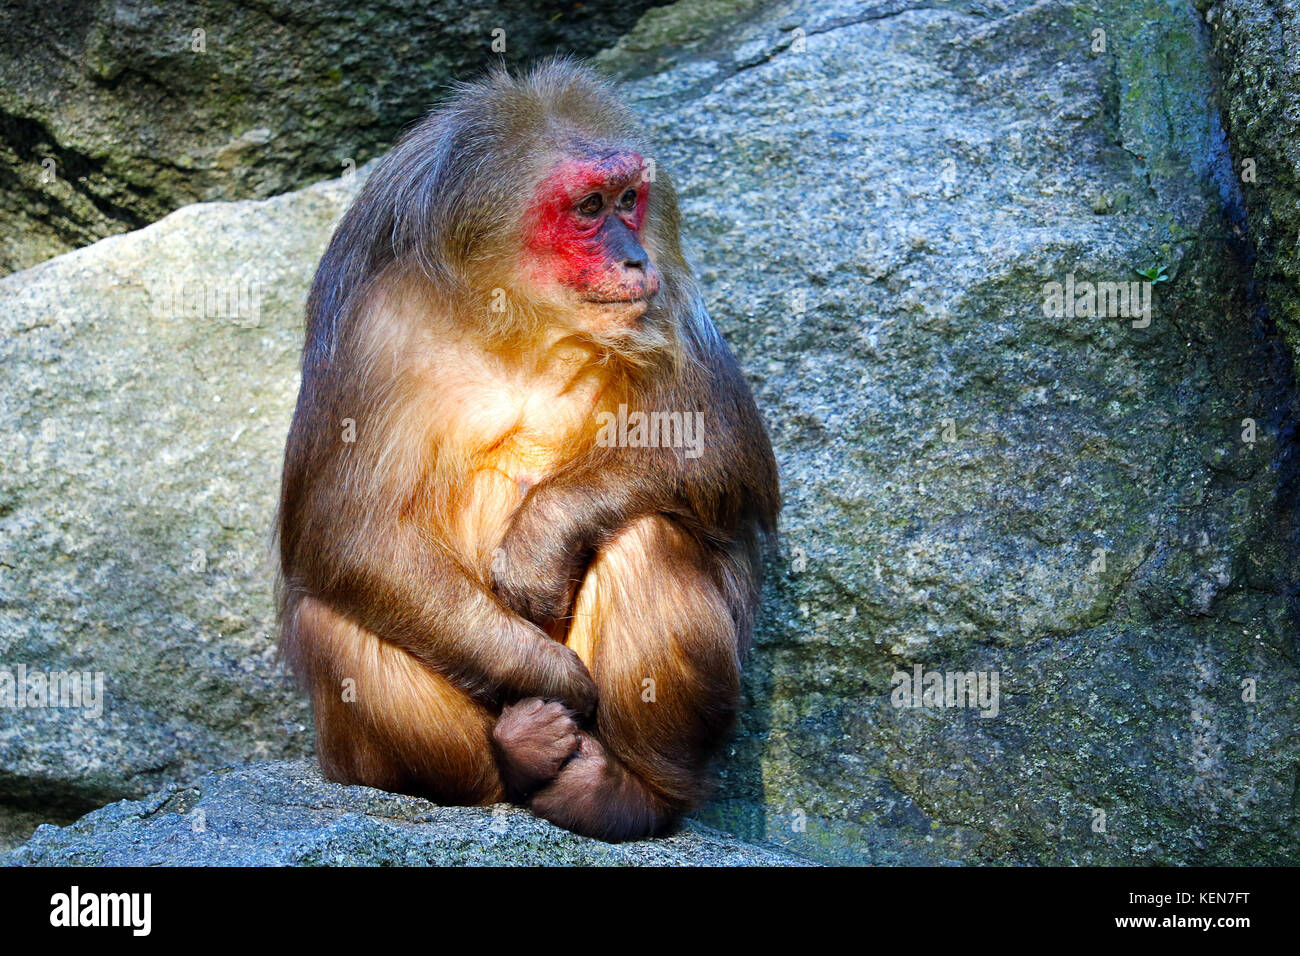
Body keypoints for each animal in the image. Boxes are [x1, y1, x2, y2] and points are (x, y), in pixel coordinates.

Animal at [275, 59, 774, 842]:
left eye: (629, 200)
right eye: (588, 207)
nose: (635, 258)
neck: (524, 321)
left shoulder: (667, 305)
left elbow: (722, 447)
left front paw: (543, 536)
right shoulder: (376, 324)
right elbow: (344, 532)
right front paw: (550, 677)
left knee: (648, 533)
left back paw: (628, 794)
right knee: (332, 616)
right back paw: (515, 757)